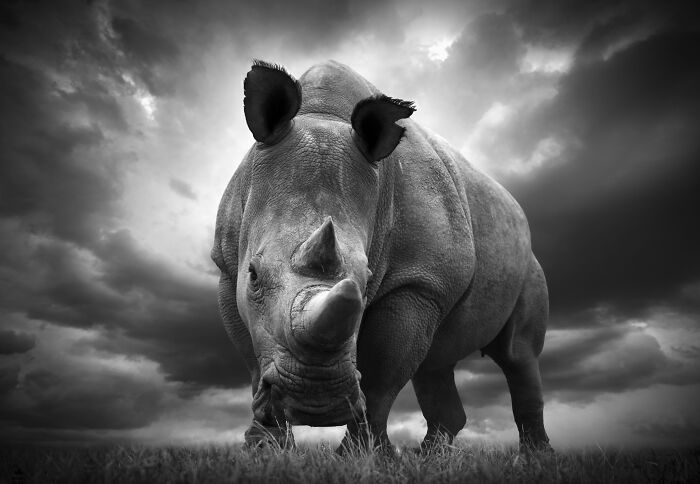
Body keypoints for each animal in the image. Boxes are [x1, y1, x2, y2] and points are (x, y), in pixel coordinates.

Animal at [211, 60, 551, 452]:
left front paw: (360, 456)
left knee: (518, 355)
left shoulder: (419, 282)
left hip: (528, 261)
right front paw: (264, 449)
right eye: (252, 274)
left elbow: (382, 374)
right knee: (436, 363)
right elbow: (252, 359)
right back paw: (430, 458)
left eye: (367, 280)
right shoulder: (227, 267)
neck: (323, 114)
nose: (315, 402)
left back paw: (535, 457)